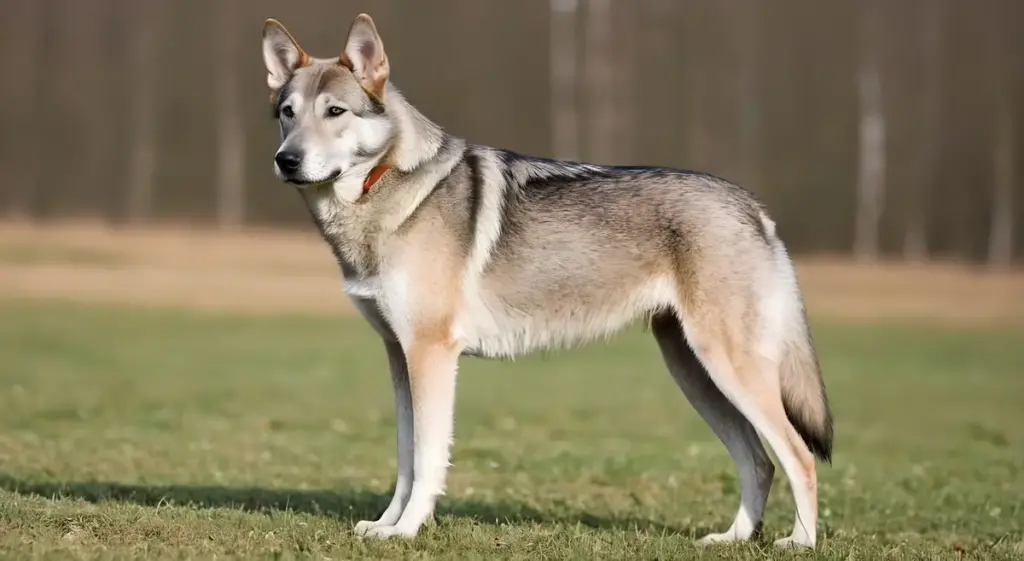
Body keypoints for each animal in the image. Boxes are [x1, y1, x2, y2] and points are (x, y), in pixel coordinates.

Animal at [258, 12, 831, 548]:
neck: (383, 192)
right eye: (288, 114)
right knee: (758, 460)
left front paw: (407, 531)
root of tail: (753, 207)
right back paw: (733, 538)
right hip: (695, 373)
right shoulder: (400, 356)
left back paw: (799, 542)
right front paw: (385, 526)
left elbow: (426, 460)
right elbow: (404, 458)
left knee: (799, 456)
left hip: (728, 369)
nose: (286, 160)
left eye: (335, 112)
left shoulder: (430, 354)